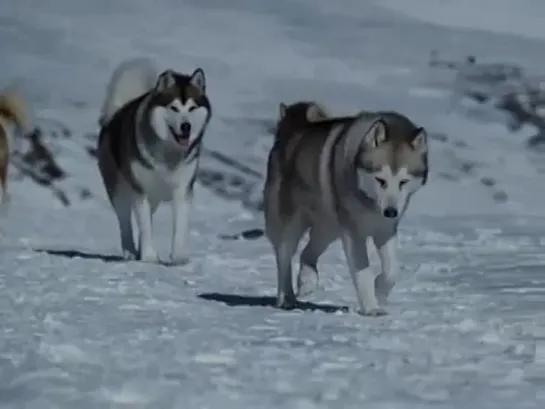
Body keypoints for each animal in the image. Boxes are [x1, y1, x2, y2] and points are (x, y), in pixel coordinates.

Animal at [96, 56, 211, 262]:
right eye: (174, 107)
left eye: (192, 107)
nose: (186, 126)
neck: (168, 153)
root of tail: (114, 114)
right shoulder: (140, 190)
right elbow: (144, 226)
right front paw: (148, 256)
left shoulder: (182, 189)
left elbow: (179, 225)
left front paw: (178, 256)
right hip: (118, 188)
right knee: (125, 220)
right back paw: (130, 251)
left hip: (154, 197)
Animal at [264, 101, 430, 316]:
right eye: (380, 179)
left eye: (403, 181)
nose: (390, 212)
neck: (369, 202)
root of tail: (292, 129)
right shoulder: (353, 232)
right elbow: (363, 271)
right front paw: (371, 308)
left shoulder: (385, 229)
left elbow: (392, 271)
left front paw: (379, 293)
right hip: (290, 223)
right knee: (284, 259)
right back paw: (286, 299)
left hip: (329, 227)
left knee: (308, 252)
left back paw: (307, 281)